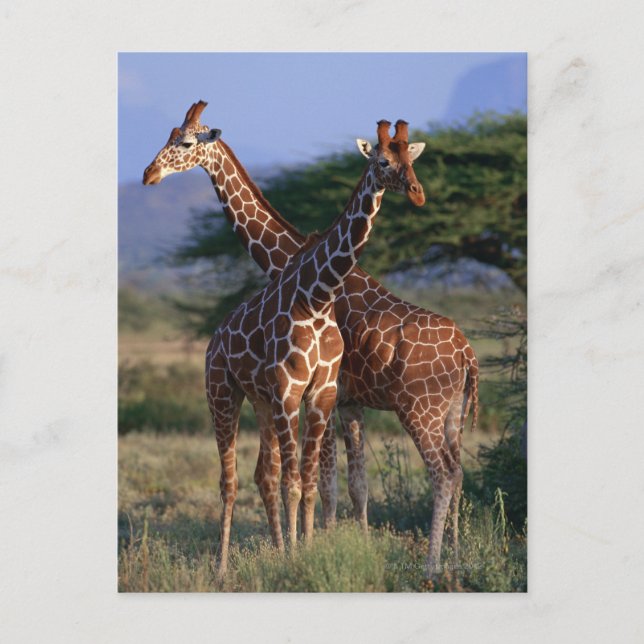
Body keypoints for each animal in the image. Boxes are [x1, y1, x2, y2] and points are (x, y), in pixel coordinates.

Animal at [143, 105, 427, 575]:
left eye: (411, 158)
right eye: (384, 161)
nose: (149, 173)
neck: (317, 294)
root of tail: (214, 339)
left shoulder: (322, 394)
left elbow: (311, 483)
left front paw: (304, 550)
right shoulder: (289, 392)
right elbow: (297, 483)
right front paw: (293, 557)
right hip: (223, 394)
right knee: (234, 479)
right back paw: (222, 567)